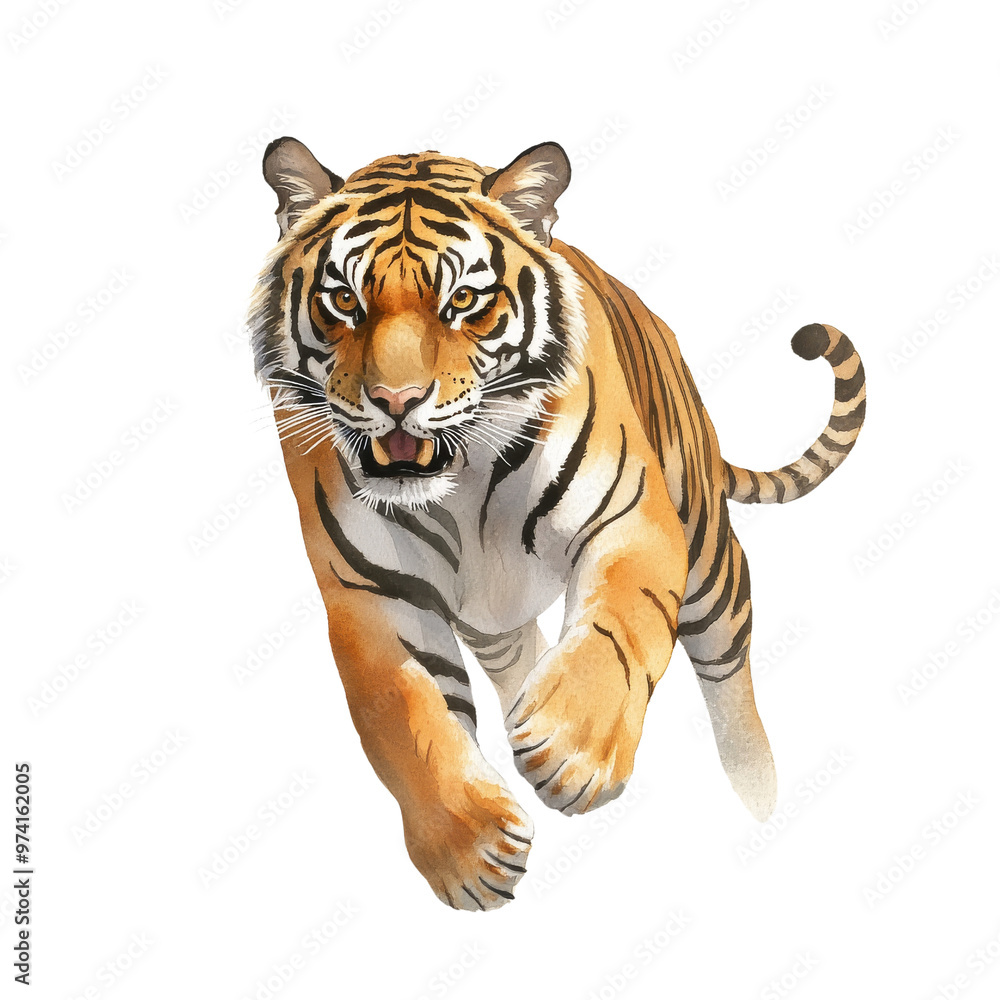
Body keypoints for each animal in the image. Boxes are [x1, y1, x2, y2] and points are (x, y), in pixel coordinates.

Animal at [247, 137, 866, 911]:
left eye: (463, 301)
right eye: (343, 301)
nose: (396, 400)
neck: (460, 484)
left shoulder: (633, 521)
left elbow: (619, 626)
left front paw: (573, 748)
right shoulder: (372, 589)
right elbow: (405, 714)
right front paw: (470, 848)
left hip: (709, 562)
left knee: (730, 674)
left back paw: (760, 796)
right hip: (493, 616)